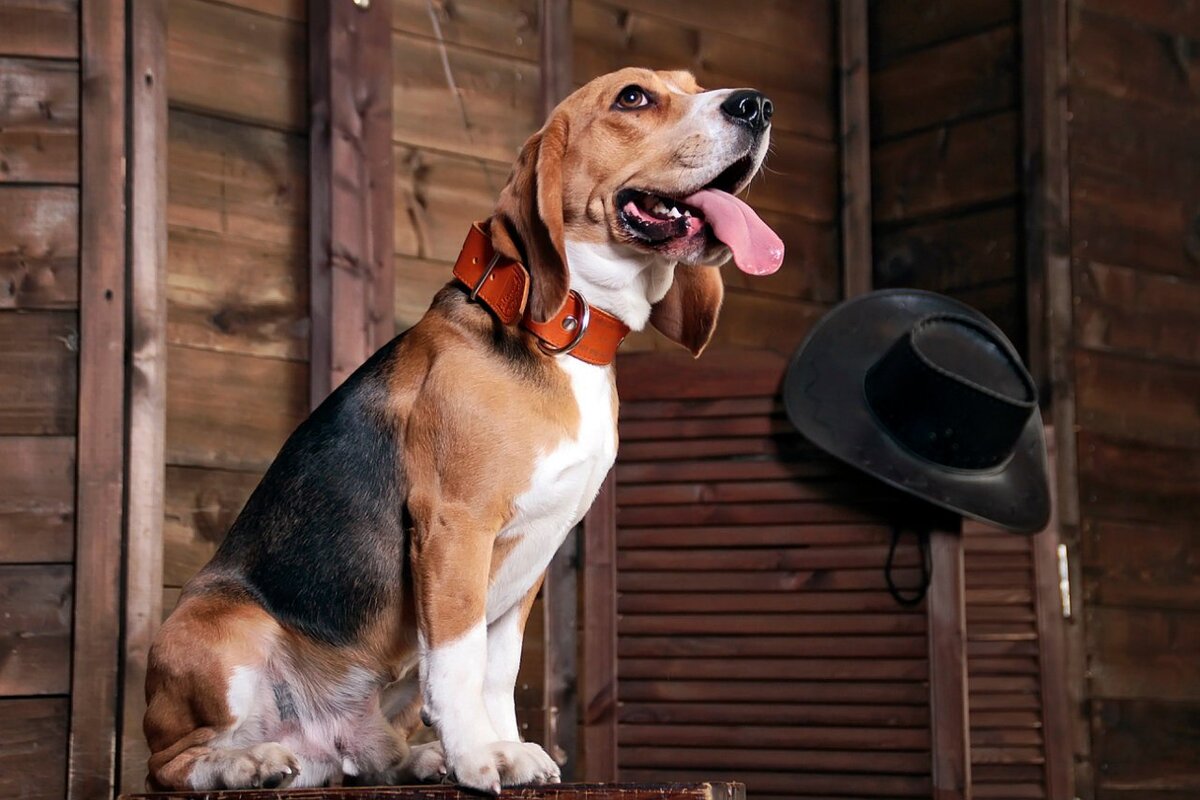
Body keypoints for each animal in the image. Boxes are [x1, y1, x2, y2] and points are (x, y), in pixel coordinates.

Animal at [145, 68, 782, 796]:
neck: (562, 335)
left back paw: (413, 757)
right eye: (633, 98)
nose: (757, 106)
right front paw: (479, 755)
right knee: (173, 762)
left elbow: (496, 670)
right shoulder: (457, 525)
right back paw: (247, 763)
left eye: (693, 85)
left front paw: (503, 746)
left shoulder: (533, 553)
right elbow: (458, 660)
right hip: (223, 629)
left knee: (359, 757)